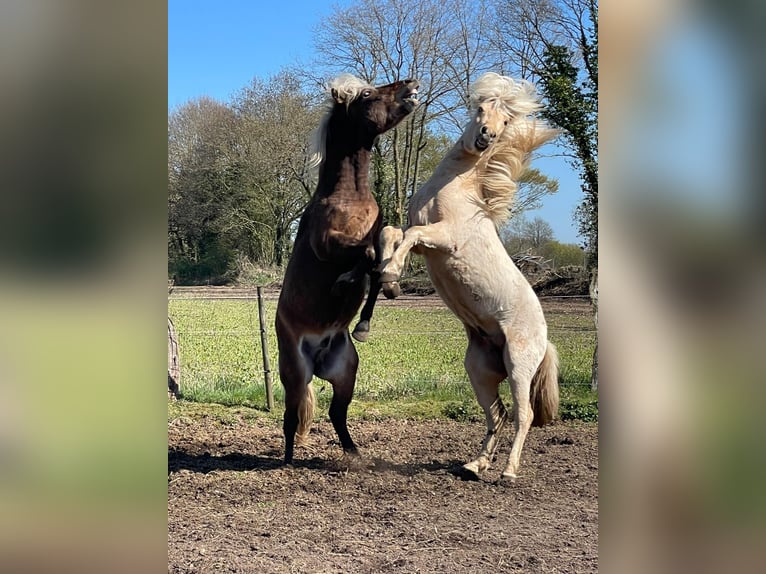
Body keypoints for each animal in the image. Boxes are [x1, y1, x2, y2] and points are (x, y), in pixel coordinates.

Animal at [276, 74, 419, 465]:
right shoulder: (330, 245)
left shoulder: (377, 230)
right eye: (368, 94)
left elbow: (385, 243)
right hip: (295, 373)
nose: (412, 85)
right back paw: (288, 461)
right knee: (291, 416)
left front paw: (387, 289)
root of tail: (318, 356)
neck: (348, 196)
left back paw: (355, 454)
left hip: (345, 371)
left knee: (336, 413)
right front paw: (348, 281)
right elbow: (367, 255)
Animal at [377, 72, 560, 482]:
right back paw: (475, 465)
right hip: (480, 370)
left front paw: (391, 274)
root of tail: (544, 339)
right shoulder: (423, 239)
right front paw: (387, 279)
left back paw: (508, 472)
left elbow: (409, 235)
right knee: (498, 414)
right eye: (480, 109)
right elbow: (392, 232)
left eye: (506, 121)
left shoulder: (444, 239)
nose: (486, 137)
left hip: (518, 367)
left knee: (523, 415)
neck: (459, 189)